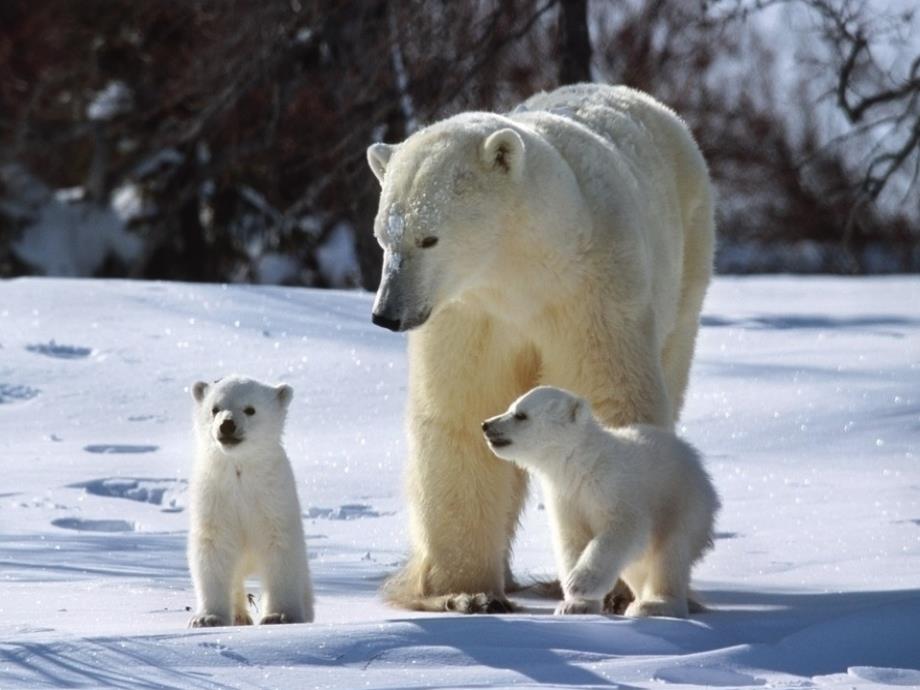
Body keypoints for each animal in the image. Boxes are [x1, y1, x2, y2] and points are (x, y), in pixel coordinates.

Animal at [187, 374, 316, 628]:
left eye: (250, 409)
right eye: (215, 409)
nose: (227, 425)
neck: (240, 470)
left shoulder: (273, 497)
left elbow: (280, 547)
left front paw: (280, 616)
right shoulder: (214, 496)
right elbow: (212, 547)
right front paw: (207, 618)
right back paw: (239, 616)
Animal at [482, 384, 720, 616]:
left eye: (520, 415)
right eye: (510, 407)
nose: (486, 424)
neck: (583, 462)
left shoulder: (614, 486)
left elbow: (624, 528)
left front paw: (579, 583)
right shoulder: (566, 497)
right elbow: (572, 540)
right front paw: (575, 605)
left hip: (683, 503)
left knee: (670, 554)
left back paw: (654, 605)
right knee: (637, 566)